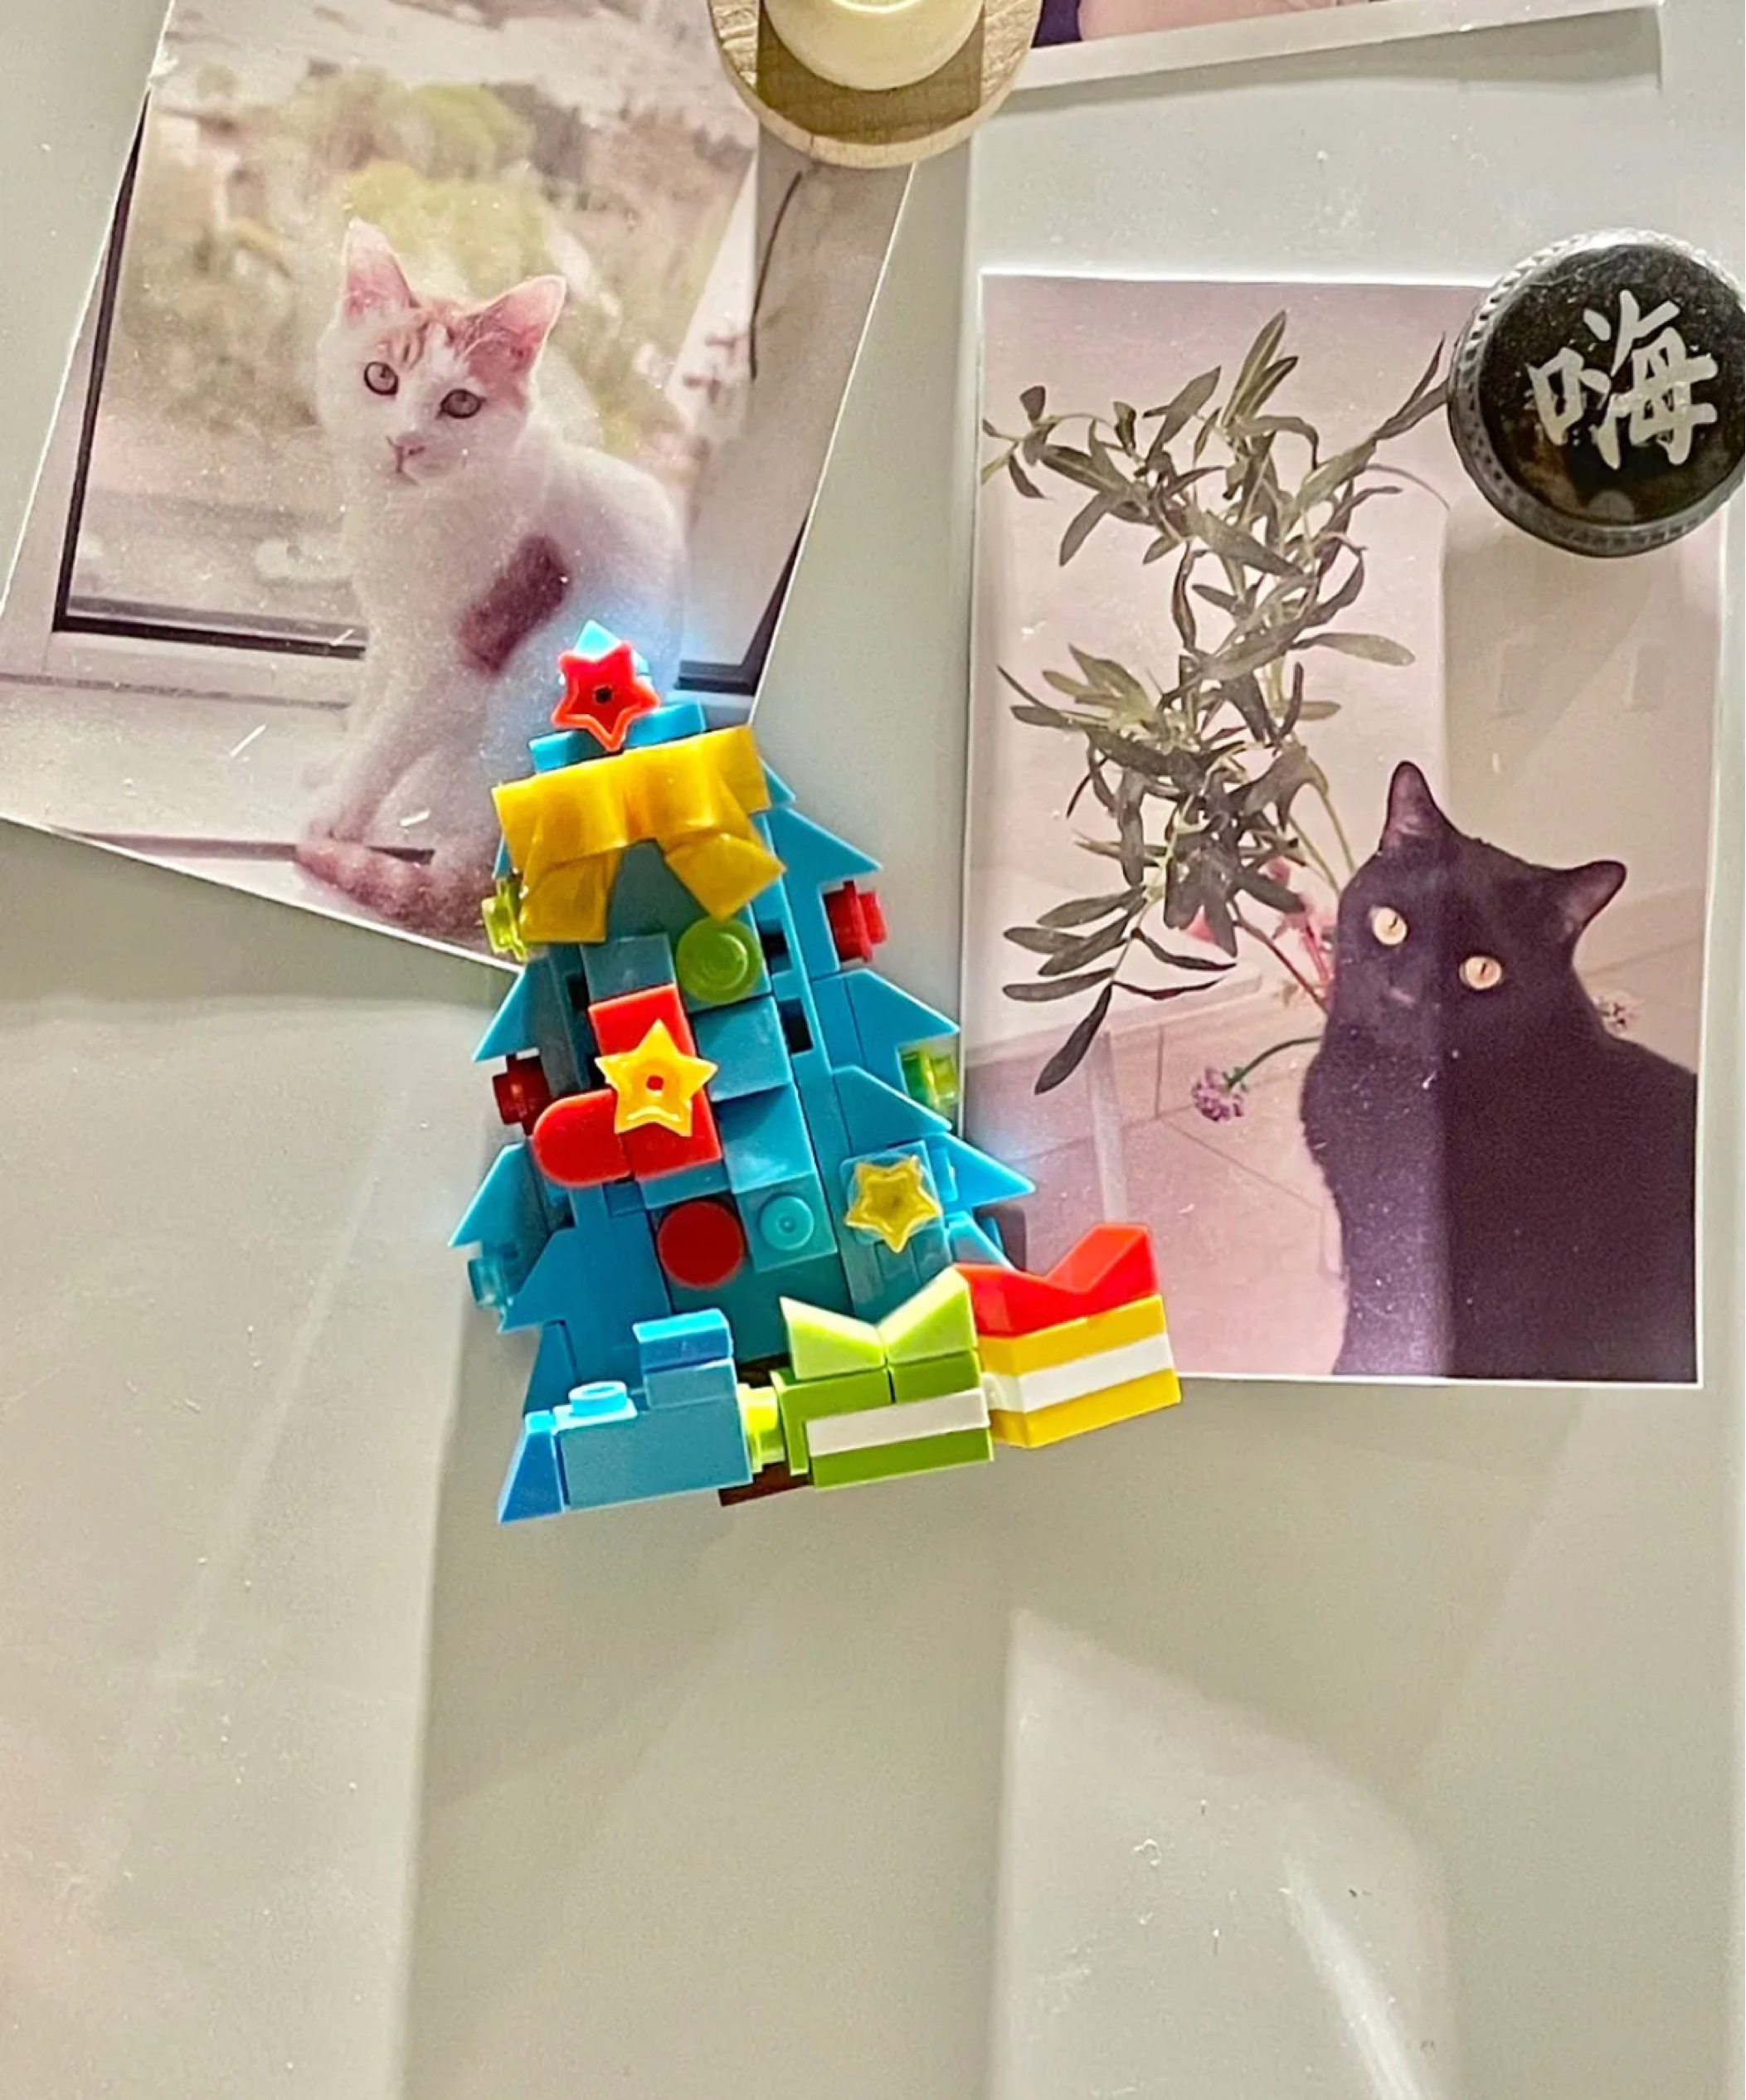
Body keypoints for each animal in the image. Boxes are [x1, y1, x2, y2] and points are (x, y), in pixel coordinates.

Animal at [297, 220, 686, 939]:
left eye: (460, 403)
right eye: (380, 377)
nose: (404, 442)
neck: (414, 516)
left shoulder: (455, 665)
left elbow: (387, 742)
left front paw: (338, 812)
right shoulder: (395, 633)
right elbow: (371, 707)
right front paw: (336, 764)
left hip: (524, 712)